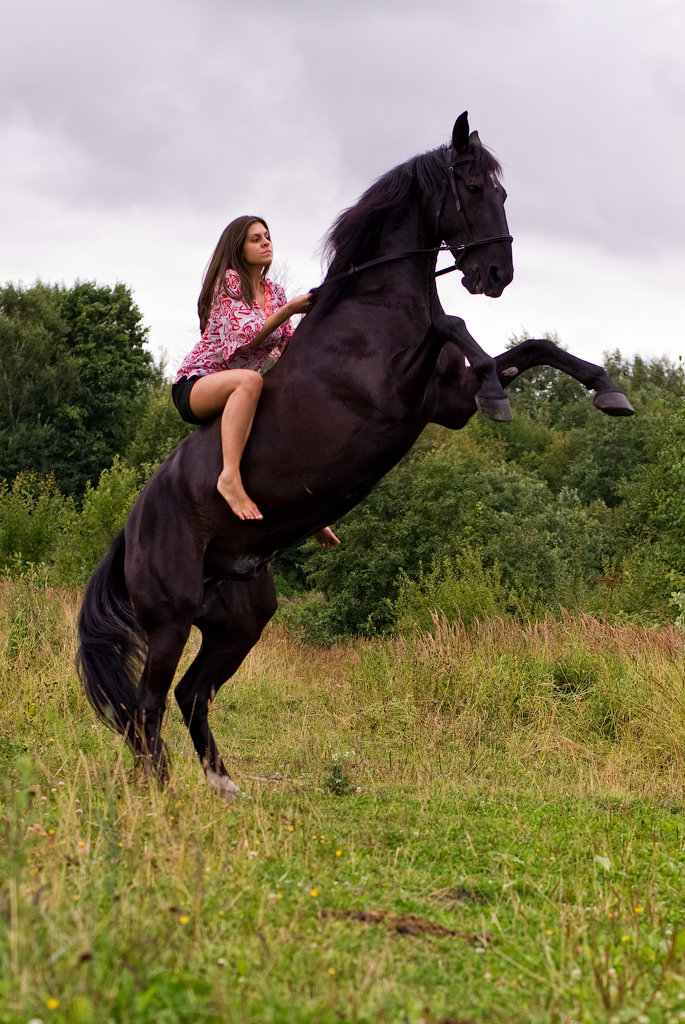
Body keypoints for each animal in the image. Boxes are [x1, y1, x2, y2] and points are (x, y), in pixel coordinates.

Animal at [77, 114, 634, 798]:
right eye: (475, 188)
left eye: (503, 192)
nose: (495, 275)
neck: (374, 308)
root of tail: (131, 528)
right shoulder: (397, 392)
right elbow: (453, 326)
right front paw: (504, 395)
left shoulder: (447, 402)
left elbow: (534, 345)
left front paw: (608, 391)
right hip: (170, 619)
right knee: (148, 705)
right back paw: (159, 793)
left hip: (240, 620)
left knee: (189, 694)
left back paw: (222, 784)